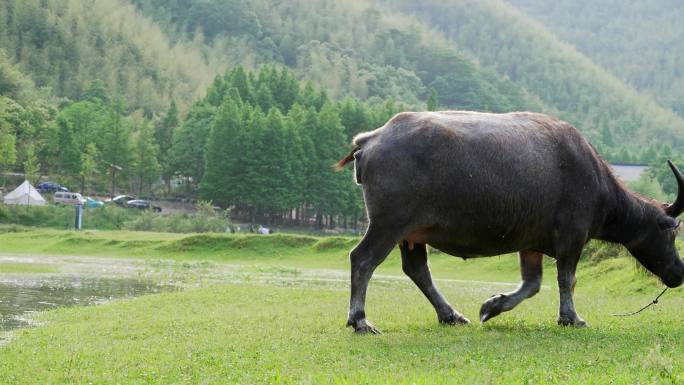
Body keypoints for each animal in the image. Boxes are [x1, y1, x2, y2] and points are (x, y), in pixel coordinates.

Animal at [336, 109, 684, 332]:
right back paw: (360, 320)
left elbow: (532, 284)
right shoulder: (572, 237)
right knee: (363, 259)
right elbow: (567, 279)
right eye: (671, 233)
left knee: (417, 270)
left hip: (412, 234)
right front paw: (571, 318)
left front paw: (492, 306)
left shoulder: (530, 244)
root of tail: (372, 139)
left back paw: (451, 315)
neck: (594, 179)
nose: (679, 273)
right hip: (388, 223)